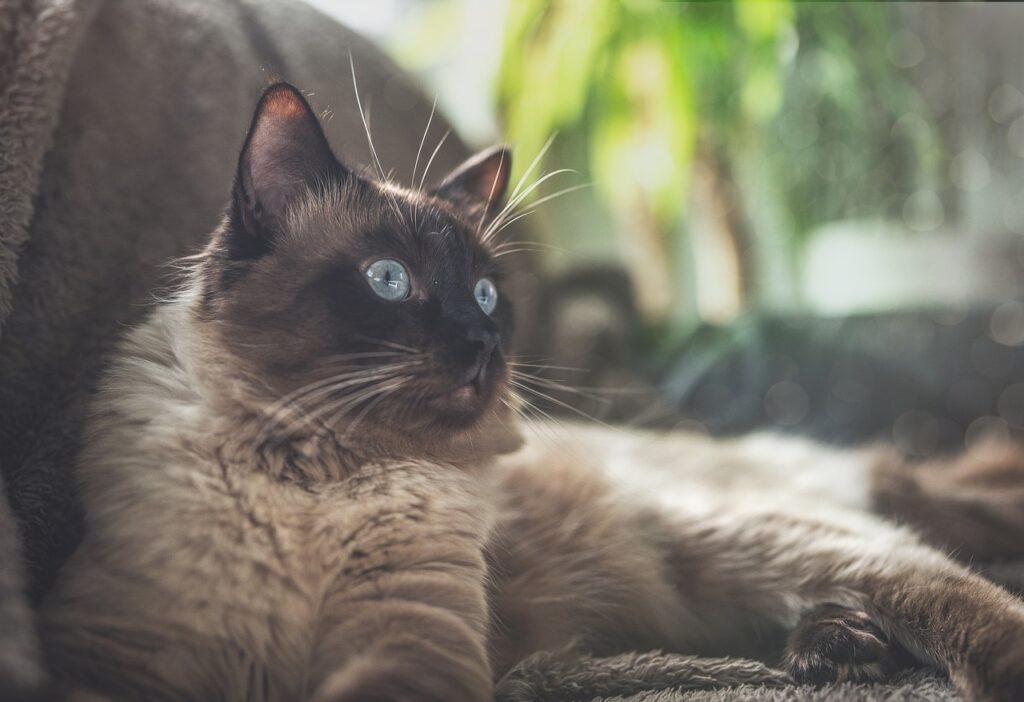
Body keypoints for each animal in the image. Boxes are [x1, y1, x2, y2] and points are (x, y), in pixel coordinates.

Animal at [39, 83, 1024, 702]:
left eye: (484, 294)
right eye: (390, 280)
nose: (483, 345)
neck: (313, 479)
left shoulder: (409, 639)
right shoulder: (118, 663)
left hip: (747, 535)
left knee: (946, 572)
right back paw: (839, 651)